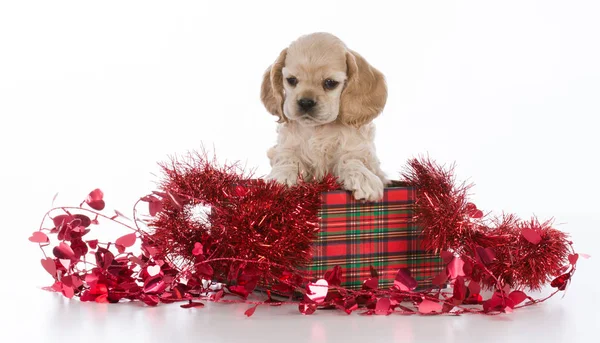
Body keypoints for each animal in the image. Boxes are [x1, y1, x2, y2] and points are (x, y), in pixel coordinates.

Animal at [262, 32, 390, 202]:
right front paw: (280, 178)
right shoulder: (285, 146)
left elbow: (351, 159)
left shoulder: (359, 150)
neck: (319, 129)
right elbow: (288, 158)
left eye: (330, 83)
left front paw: (363, 178)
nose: (305, 102)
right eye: (291, 80)